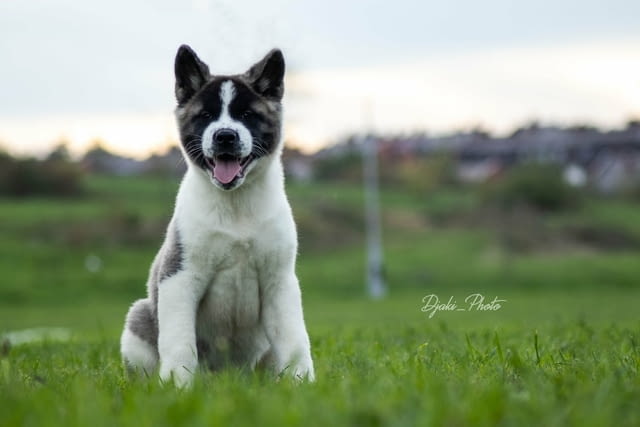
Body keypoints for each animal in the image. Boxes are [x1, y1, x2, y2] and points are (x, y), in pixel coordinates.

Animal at [119, 46, 316, 388]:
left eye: (248, 115)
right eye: (205, 116)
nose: (225, 136)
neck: (235, 205)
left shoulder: (280, 281)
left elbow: (295, 340)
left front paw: (302, 382)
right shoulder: (179, 276)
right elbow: (179, 342)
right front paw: (178, 386)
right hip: (139, 317)